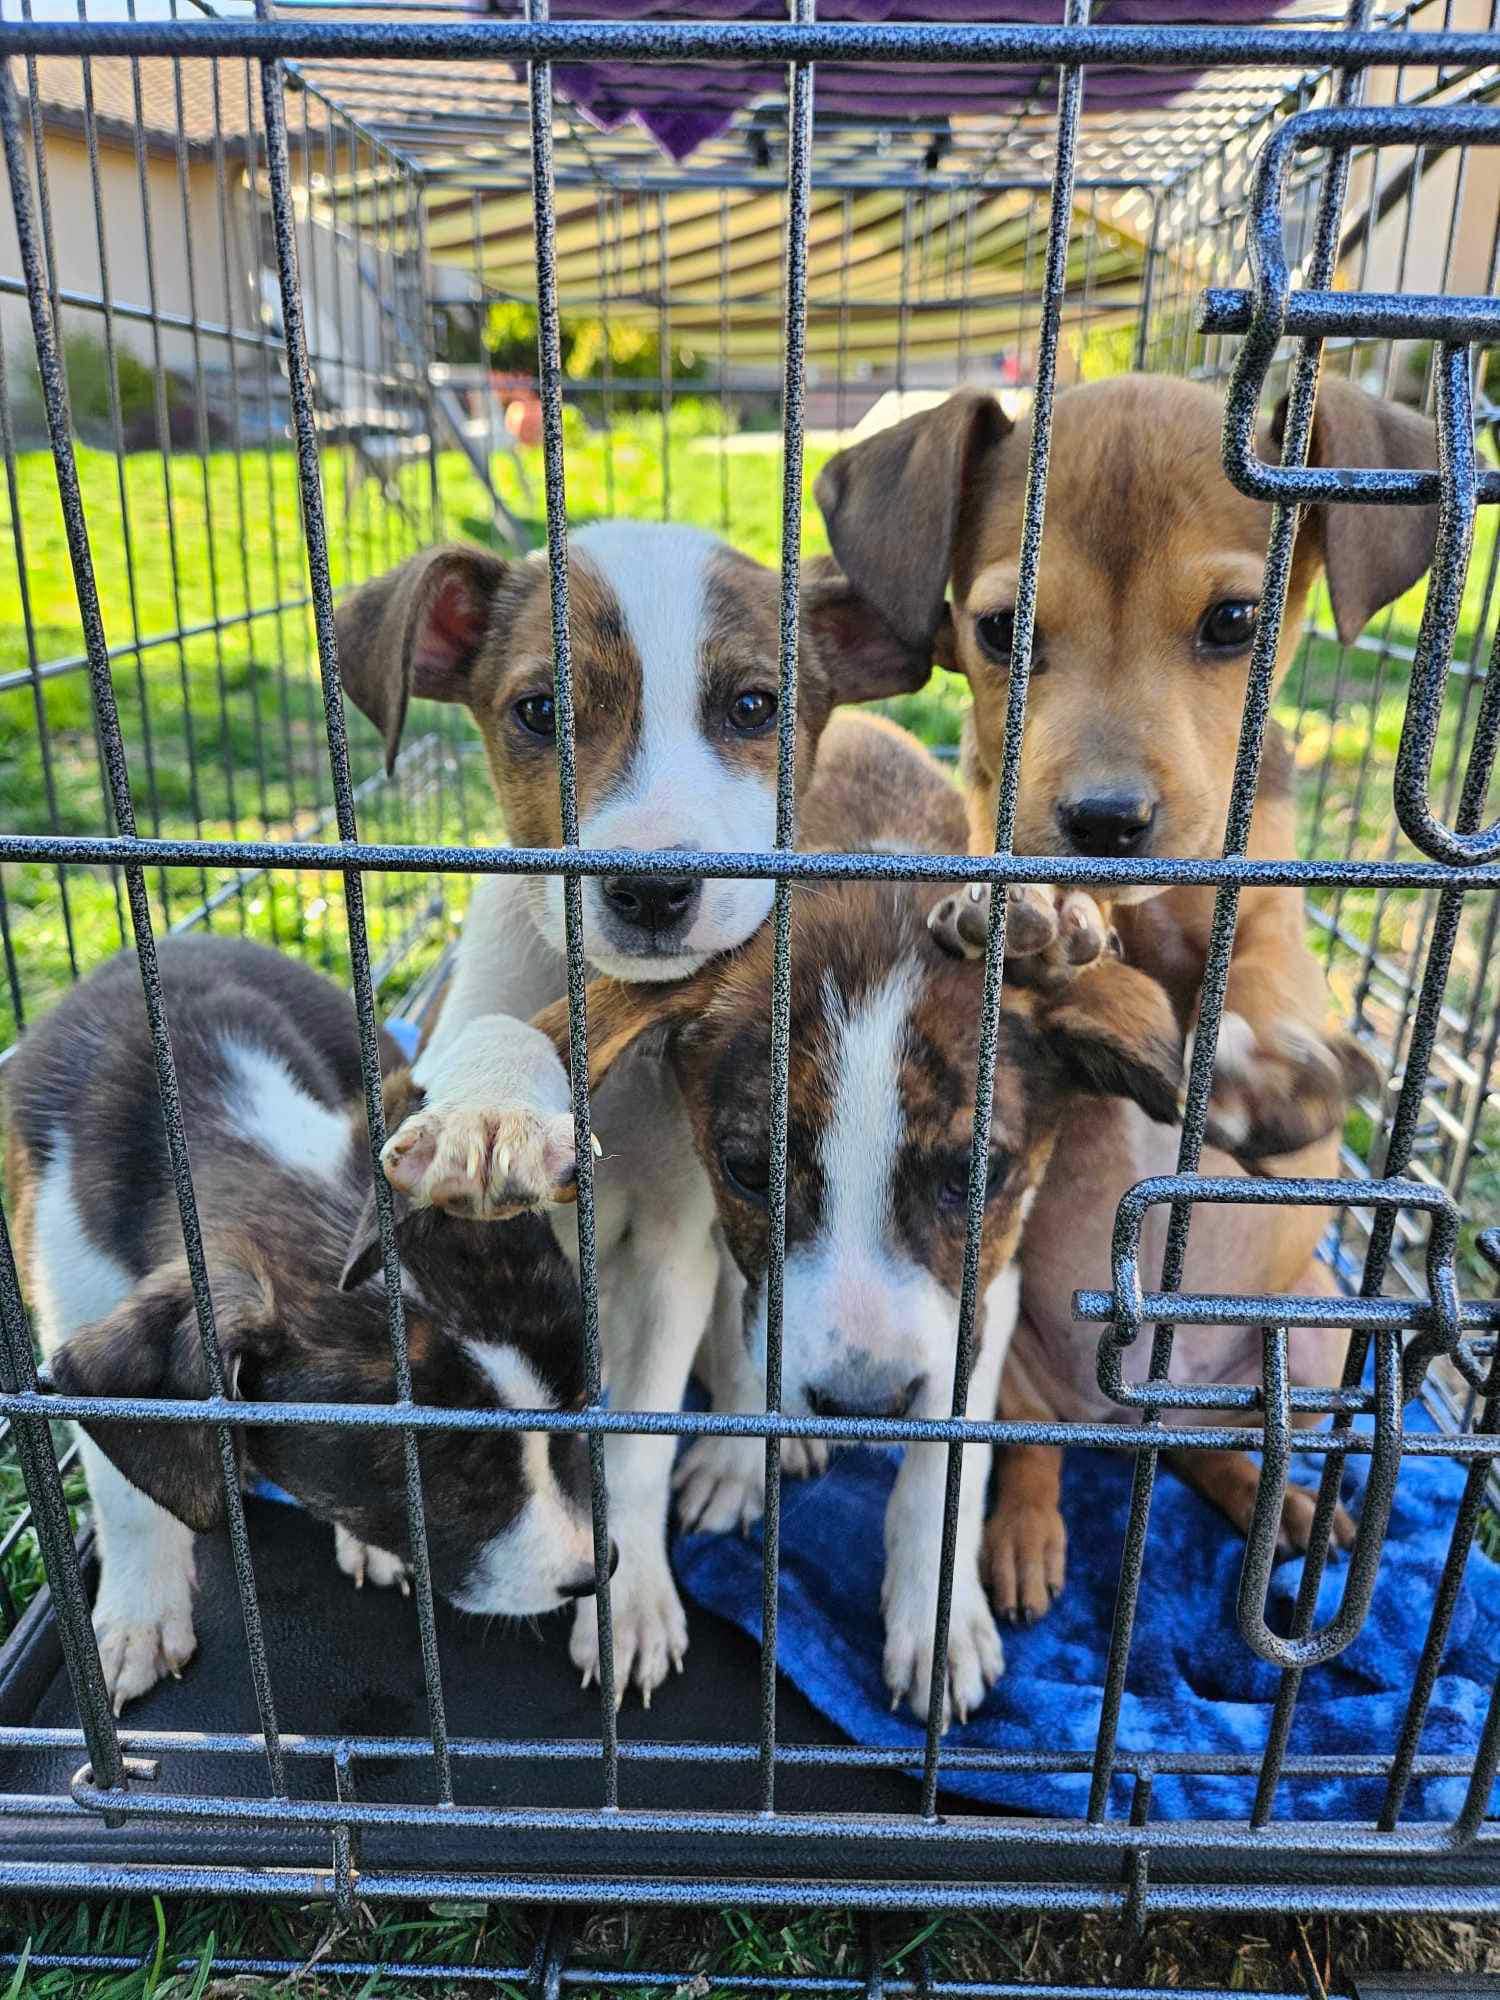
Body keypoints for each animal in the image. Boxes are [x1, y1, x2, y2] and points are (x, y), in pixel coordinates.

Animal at [7, 932, 604, 1704]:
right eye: (440, 1468)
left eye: (580, 1403)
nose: (596, 1573)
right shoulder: (73, 1299)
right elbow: (126, 1488)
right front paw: (137, 1617)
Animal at [340, 520, 928, 1704]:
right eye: (540, 712)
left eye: (752, 705)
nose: (651, 890)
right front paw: (494, 1103)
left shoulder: (672, 1254)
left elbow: (638, 1444)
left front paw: (638, 1600)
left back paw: (750, 1453)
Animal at [406, 724, 1192, 1736]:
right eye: (751, 1170)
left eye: (976, 1177)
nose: (862, 1405)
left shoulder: (992, 1283)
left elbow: (949, 1458)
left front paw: (937, 1615)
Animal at [824, 378, 1448, 1624]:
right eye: (1000, 633)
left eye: (1235, 622)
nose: (1106, 821)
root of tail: (1130, 1407)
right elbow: (1073, 952)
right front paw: (1049, 923)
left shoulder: (1271, 920)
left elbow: (1260, 987)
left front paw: (1271, 1071)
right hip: (1011, 1351)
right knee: (1036, 1454)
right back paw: (1026, 1538)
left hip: (1310, 1347)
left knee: (1220, 1441)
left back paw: (1282, 1504)